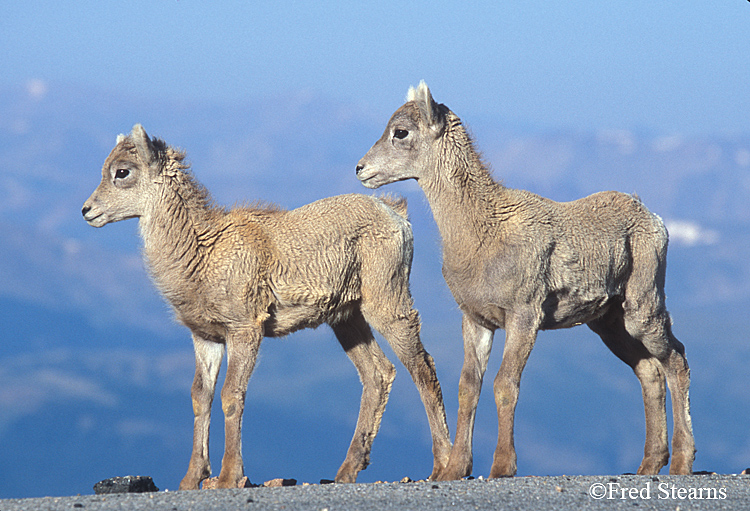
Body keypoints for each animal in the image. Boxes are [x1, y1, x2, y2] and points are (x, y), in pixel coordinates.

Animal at [82, 125, 452, 492]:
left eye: (122, 172)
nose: (87, 211)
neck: (203, 251)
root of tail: (397, 215)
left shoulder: (245, 330)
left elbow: (232, 395)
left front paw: (228, 477)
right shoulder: (206, 338)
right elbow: (201, 396)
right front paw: (191, 479)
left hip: (387, 304)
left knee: (422, 367)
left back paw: (444, 467)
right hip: (348, 320)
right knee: (378, 374)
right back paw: (346, 471)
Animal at [358, 83, 700, 480]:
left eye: (401, 132)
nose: (360, 169)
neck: (484, 230)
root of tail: (651, 217)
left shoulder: (524, 316)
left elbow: (505, 384)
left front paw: (502, 467)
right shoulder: (477, 321)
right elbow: (468, 387)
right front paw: (455, 469)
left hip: (642, 309)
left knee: (676, 360)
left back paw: (681, 462)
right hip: (610, 324)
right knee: (649, 372)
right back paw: (647, 465)